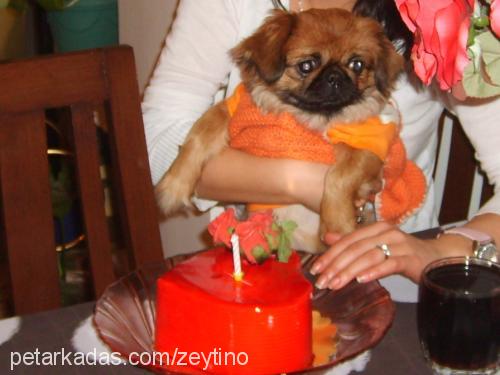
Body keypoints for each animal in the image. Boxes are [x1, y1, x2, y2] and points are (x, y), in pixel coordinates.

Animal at [158, 7, 404, 251]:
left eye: (357, 65)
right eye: (306, 66)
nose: (335, 76)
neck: (307, 115)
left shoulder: (369, 148)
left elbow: (339, 176)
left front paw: (337, 225)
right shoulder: (230, 111)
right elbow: (199, 135)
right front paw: (173, 186)